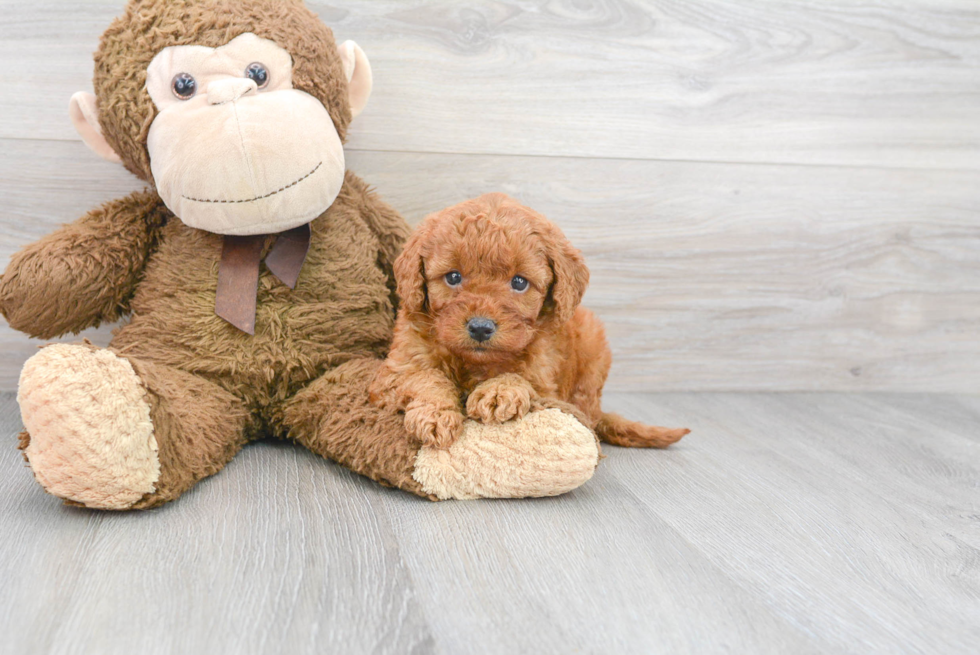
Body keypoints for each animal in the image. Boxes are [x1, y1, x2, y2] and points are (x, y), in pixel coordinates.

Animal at [370, 193, 688, 452]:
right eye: (453, 277)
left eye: (520, 282)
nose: (481, 327)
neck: (474, 362)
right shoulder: (395, 371)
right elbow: (425, 377)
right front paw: (435, 415)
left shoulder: (543, 377)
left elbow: (522, 378)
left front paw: (499, 391)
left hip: (593, 342)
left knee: (589, 411)